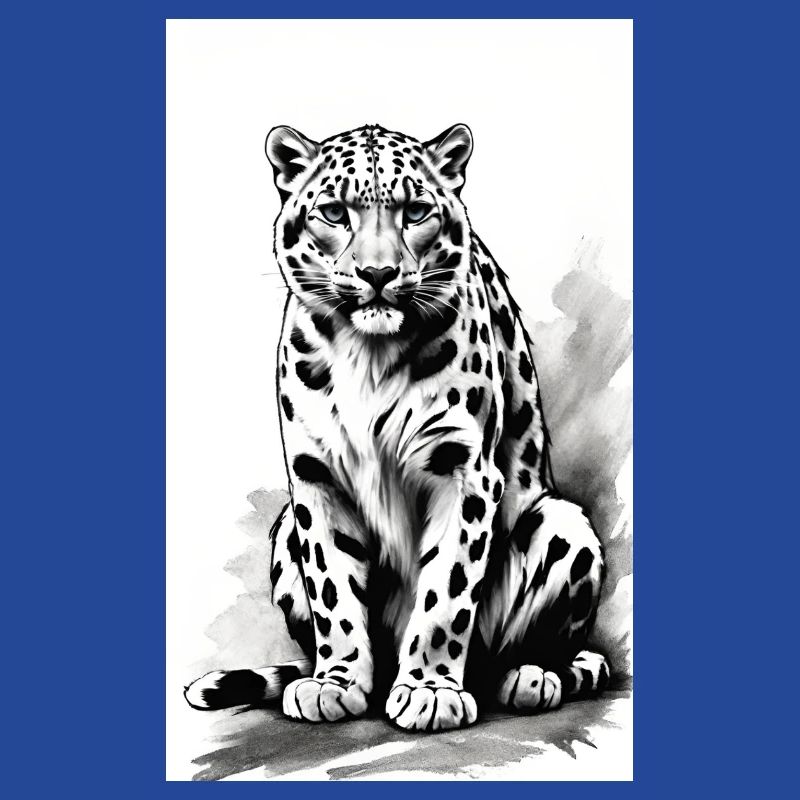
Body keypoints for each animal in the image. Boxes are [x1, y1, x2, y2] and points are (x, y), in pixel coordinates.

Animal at [184, 123, 610, 731]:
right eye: (334, 212)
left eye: (415, 211)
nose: (378, 274)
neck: (369, 356)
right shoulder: (316, 478)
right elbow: (333, 587)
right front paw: (336, 683)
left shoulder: (464, 470)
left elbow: (446, 591)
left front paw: (430, 690)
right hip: (286, 526)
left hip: (562, 524)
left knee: (536, 646)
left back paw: (529, 676)